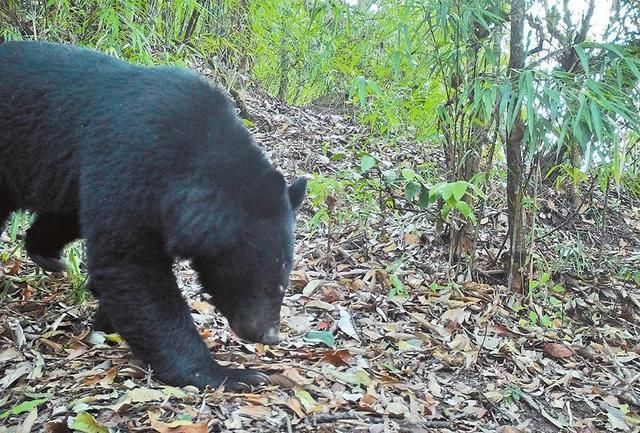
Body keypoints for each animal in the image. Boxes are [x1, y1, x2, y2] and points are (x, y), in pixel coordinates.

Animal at [0, 42, 306, 390]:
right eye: (268, 278)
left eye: (284, 276)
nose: (270, 335)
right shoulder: (131, 161)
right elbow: (132, 270)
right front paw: (229, 374)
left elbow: (75, 216)